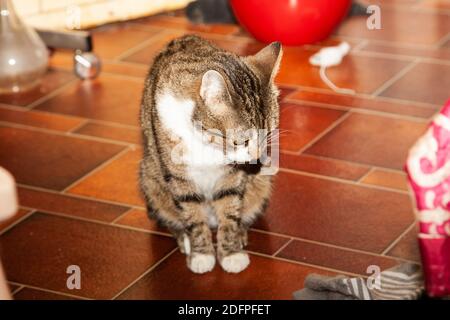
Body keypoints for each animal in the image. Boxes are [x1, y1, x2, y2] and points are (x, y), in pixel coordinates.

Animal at [139, 35, 284, 276]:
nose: (256, 158)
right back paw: (184, 239)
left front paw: (231, 253)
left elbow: (229, 208)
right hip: (150, 177)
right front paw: (201, 254)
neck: (206, 144)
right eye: (241, 141)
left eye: (268, 135)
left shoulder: (232, 175)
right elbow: (192, 214)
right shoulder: (179, 176)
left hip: (261, 183)